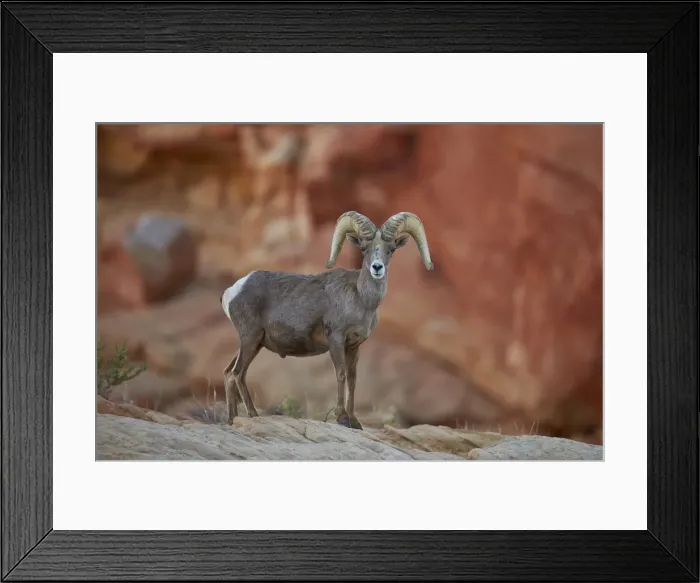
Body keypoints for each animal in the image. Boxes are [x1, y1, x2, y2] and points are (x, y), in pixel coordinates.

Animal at [220, 210, 434, 430]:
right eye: (363, 249)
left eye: (390, 250)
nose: (377, 267)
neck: (361, 299)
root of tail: (233, 291)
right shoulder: (336, 340)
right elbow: (340, 374)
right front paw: (342, 418)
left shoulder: (354, 346)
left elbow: (352, 379)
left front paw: (354, 421)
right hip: (250, 339)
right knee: (238, 373)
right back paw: (253, 415)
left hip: (254, 344)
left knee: (230, 373)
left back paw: (232, 420)